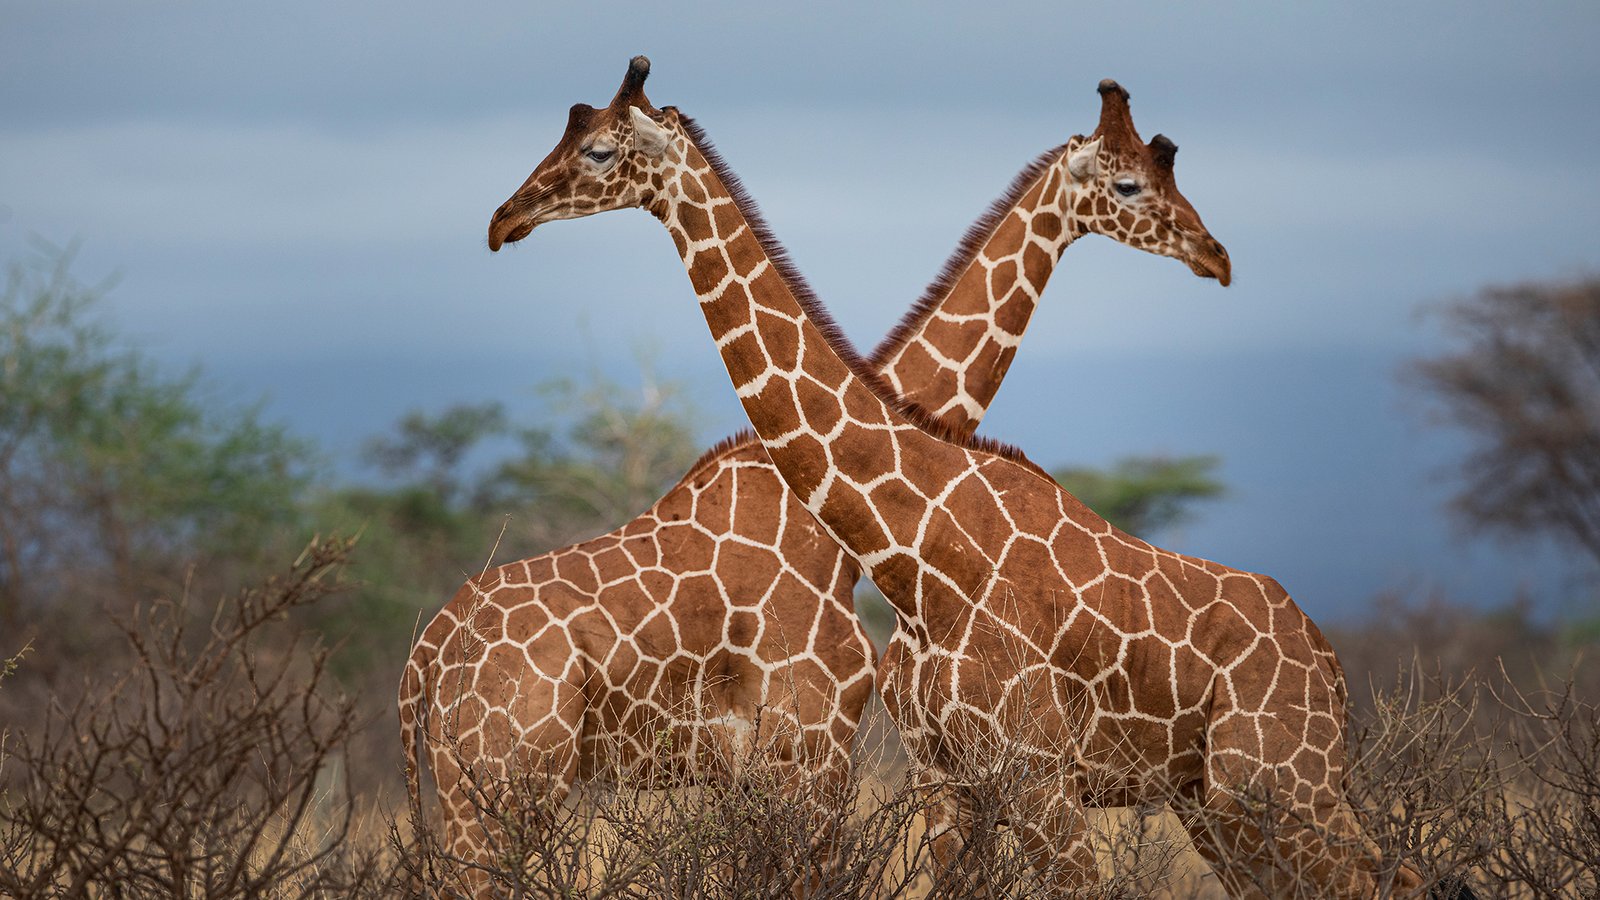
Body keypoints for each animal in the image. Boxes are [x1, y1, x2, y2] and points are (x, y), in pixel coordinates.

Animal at [484, 57, 1431, 898]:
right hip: (1225, 800)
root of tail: (1328, 660)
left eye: (598, 149)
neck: (916, 554)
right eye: (1130, 184)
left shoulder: (1032, 774)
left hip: (1274, 782)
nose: (504, 218)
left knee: (1385, 876)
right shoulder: (946, 780)